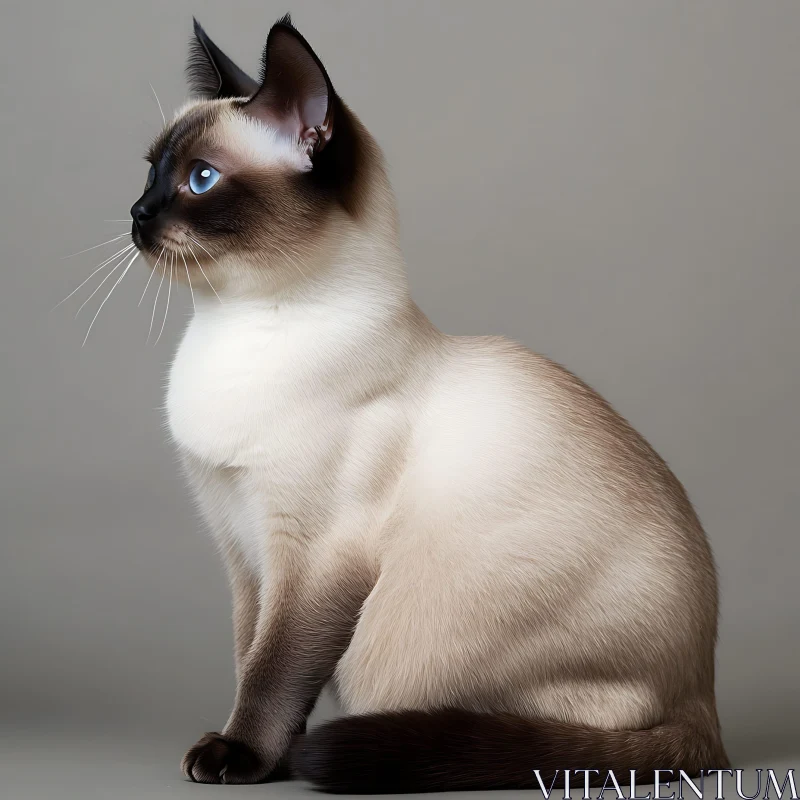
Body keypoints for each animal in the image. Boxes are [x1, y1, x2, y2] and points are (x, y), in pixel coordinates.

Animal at [128, 14, 736, 792]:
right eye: (149, 171)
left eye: (199, 179)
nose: (136, 213)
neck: (235, 323)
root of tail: (707, 707)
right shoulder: (242, 546)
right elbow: (249, 656)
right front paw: (260, 754)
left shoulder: (313, 553)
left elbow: (274, 668)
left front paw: (241, 756)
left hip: (417, 643)